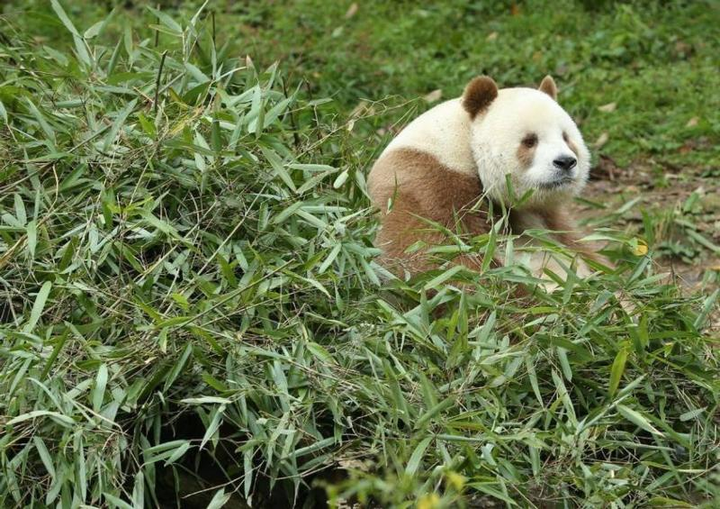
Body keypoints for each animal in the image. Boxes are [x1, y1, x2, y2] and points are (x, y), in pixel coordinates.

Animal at [367, 75, 602, 285]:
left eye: (566, 138)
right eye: (529, 141)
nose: (565, 162)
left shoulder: (545, 216)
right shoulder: (427, 185)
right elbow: (437, 258)